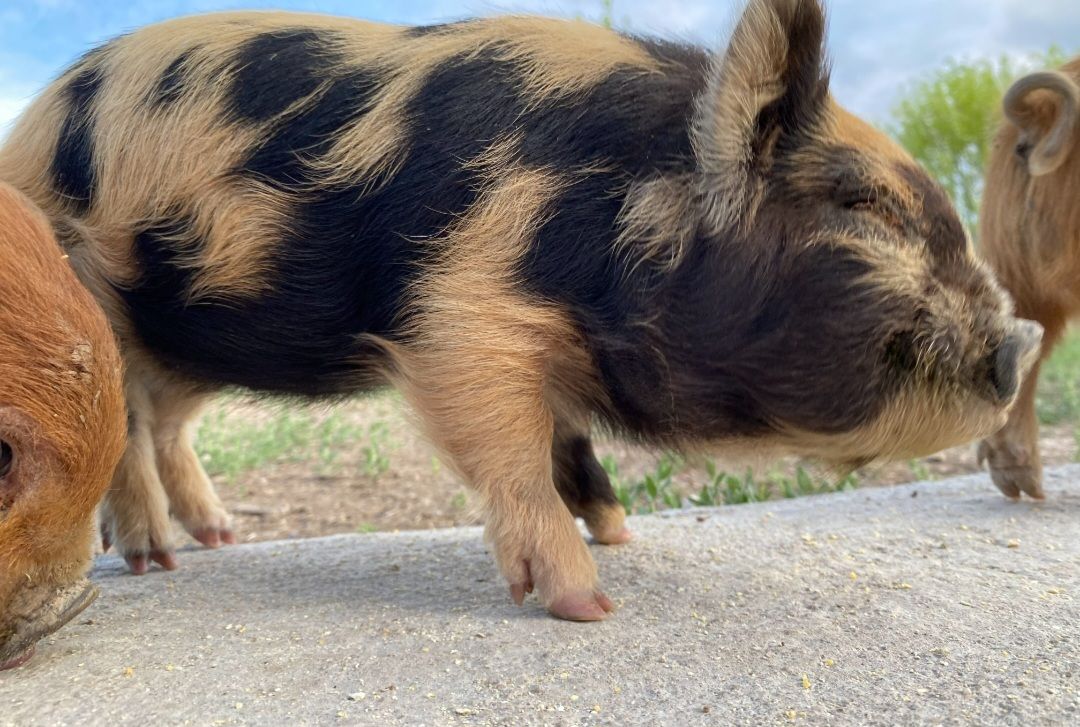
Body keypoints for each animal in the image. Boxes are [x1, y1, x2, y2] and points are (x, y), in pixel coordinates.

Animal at [0, 0, 1040, 620]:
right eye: (864, 206)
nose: (1021, 342)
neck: (616, 205)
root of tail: (27, 131)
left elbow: (569, 443)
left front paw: (623, 533)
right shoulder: (456, 311)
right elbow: (512, 453)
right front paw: (590, 604)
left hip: (190, 337)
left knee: (166, 423)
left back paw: (217, 539)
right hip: (97, 308)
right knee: (125, 433)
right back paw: (156, 563)